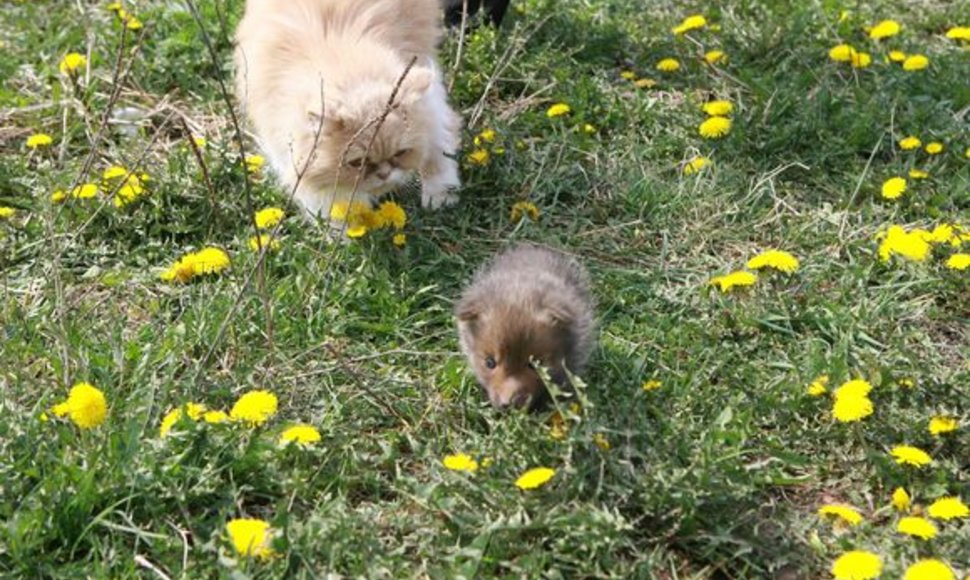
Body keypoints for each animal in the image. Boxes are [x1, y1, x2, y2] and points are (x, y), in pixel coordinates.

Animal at [234, 0, 462, 218]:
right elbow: (334, 208)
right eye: (358, 163)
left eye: (401, 153)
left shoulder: (435, 106)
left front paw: (440, 200)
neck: (338, 54)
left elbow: (438, 161)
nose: (384, 174)